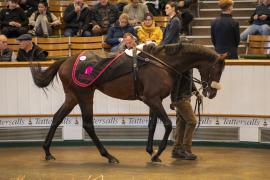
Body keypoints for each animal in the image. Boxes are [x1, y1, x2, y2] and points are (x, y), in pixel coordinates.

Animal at [30, 43, 227, 164]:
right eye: (217, 69)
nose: (212, 92)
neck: (161, 64)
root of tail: (67, 61)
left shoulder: (153, 100)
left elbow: (152, 125)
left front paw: (151, 151)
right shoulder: (153, 99)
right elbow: (167, 125)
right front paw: (157, 153)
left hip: (72, 97)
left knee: (57, 118)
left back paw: (47, 151)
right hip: (85, 95)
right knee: (88, 124)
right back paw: (109, 156)